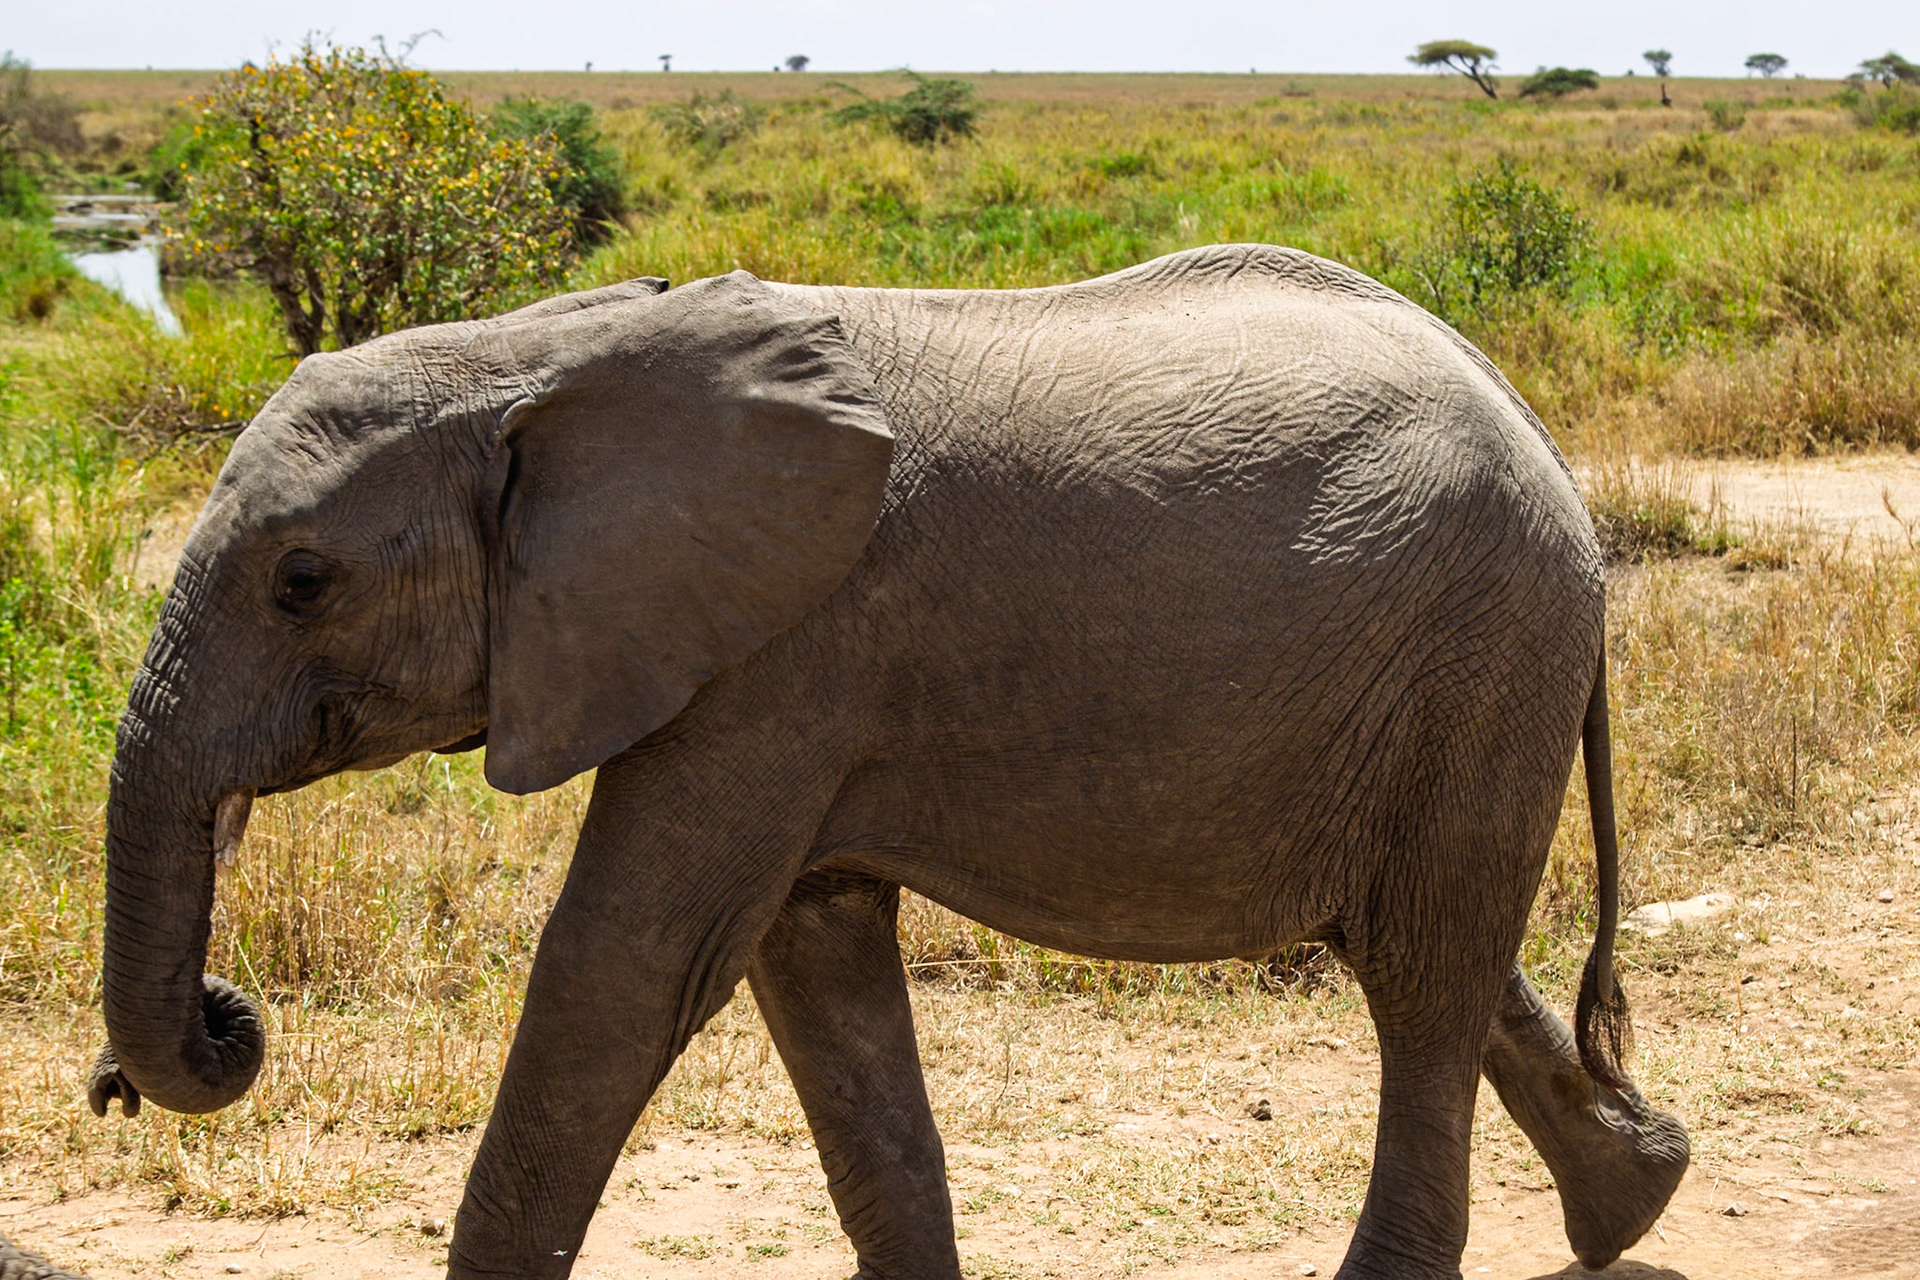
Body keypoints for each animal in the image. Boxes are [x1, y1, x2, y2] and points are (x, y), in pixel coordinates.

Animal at [4, 243, 1691, 1280]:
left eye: (303, 582)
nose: (209, 1030)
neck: (554, 347)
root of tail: (1544, 445)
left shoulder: (785, 648)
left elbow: (628, 965)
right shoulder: (778, 671)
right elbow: (811, 973)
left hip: (1483, 652)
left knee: (1420, 978)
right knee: (1428, 948)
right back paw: (1640, 1196)